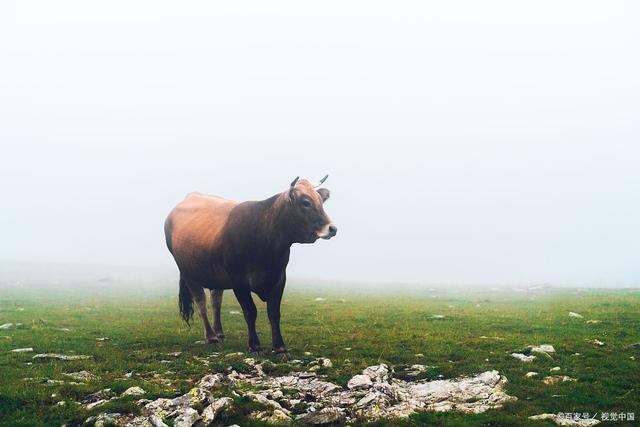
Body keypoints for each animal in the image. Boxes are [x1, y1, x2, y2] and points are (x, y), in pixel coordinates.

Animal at [164, 176, 336, 356]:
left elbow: (274, 313)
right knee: (201, 303)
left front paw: (279, 347)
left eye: (321, 201)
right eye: (306, 202)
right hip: (188, 273)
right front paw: (254, 346)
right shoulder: (238, 281)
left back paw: (219, 332)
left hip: (215, 274)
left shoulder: (279, 278)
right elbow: (250, 311)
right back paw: (211, 337)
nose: (332, 228)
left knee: (216, 299)